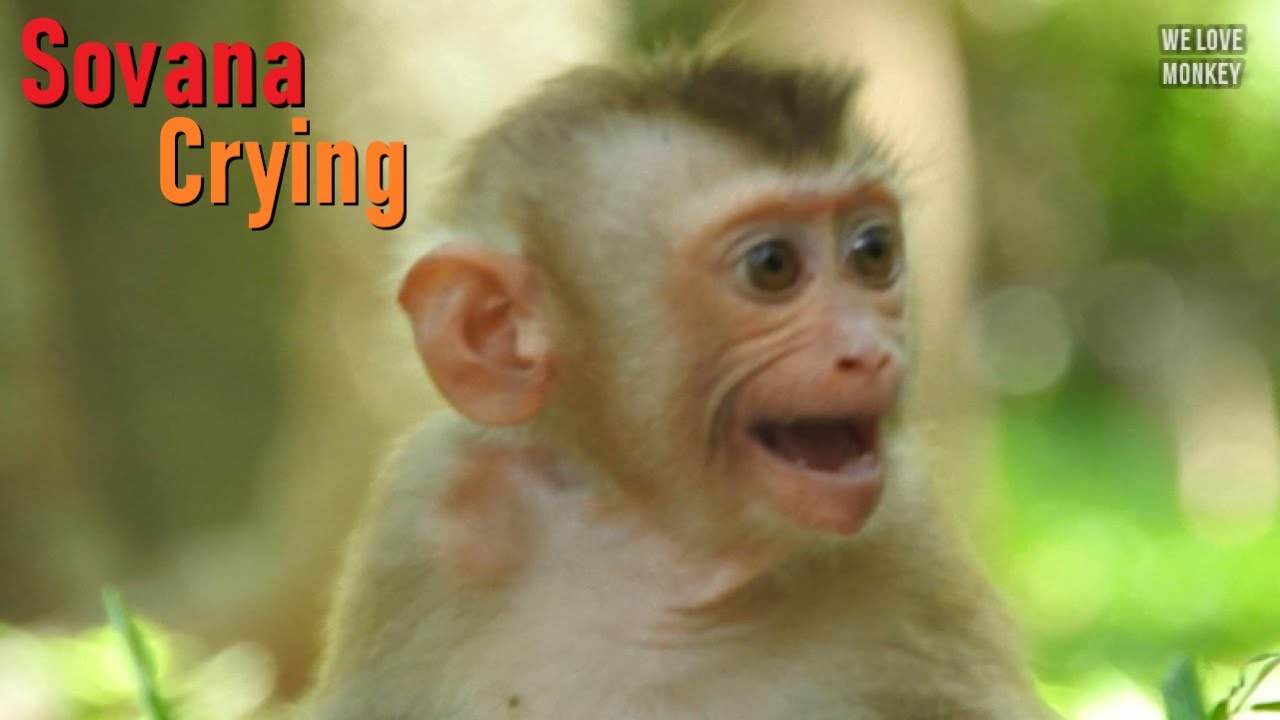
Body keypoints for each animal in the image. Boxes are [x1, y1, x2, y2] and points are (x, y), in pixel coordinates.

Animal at [304, 54, 1057, 720]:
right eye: (772, 265)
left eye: (873, 253)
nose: (868, 353)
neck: (660, 558)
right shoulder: (424, 515)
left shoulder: (909, 536)